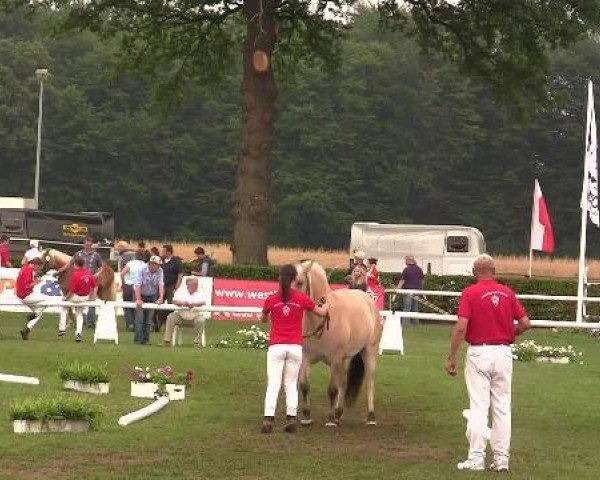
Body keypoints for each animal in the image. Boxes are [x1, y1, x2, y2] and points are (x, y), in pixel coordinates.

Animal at [296, 260, 384, 426]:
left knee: (369, 382)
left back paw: (370, 416)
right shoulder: (306, 357)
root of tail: (367, 299)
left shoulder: (335, 358)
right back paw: (339, 413)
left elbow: (332, 389)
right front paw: (306, 416)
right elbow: (304, 385)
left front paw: (330, 419)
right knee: (344, 381)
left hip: (369, 351)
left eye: (299, 282)